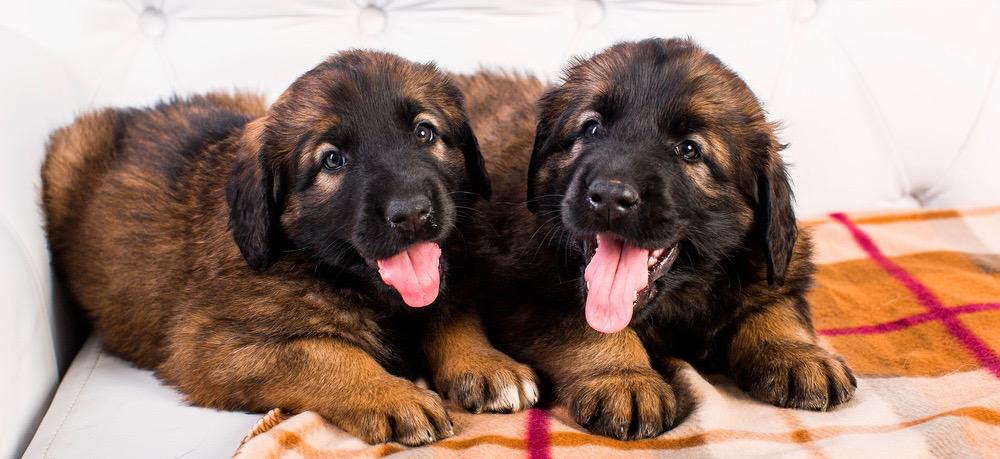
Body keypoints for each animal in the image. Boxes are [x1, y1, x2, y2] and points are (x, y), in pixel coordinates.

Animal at [42, 50, 540, 446]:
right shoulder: (209, 346)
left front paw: (488, 364)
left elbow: (452, 314)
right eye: (333, 160)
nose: (414, 213)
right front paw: (393, 394)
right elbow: (324, 353)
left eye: (424, 133)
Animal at [458, 39, 856, 442]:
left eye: (690, 149)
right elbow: (587, 328)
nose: (610, 196)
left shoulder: (774, 260)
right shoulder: (529, 294)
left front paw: (798, 354)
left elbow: (775, 305)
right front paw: (624, 379)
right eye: (592, 128)